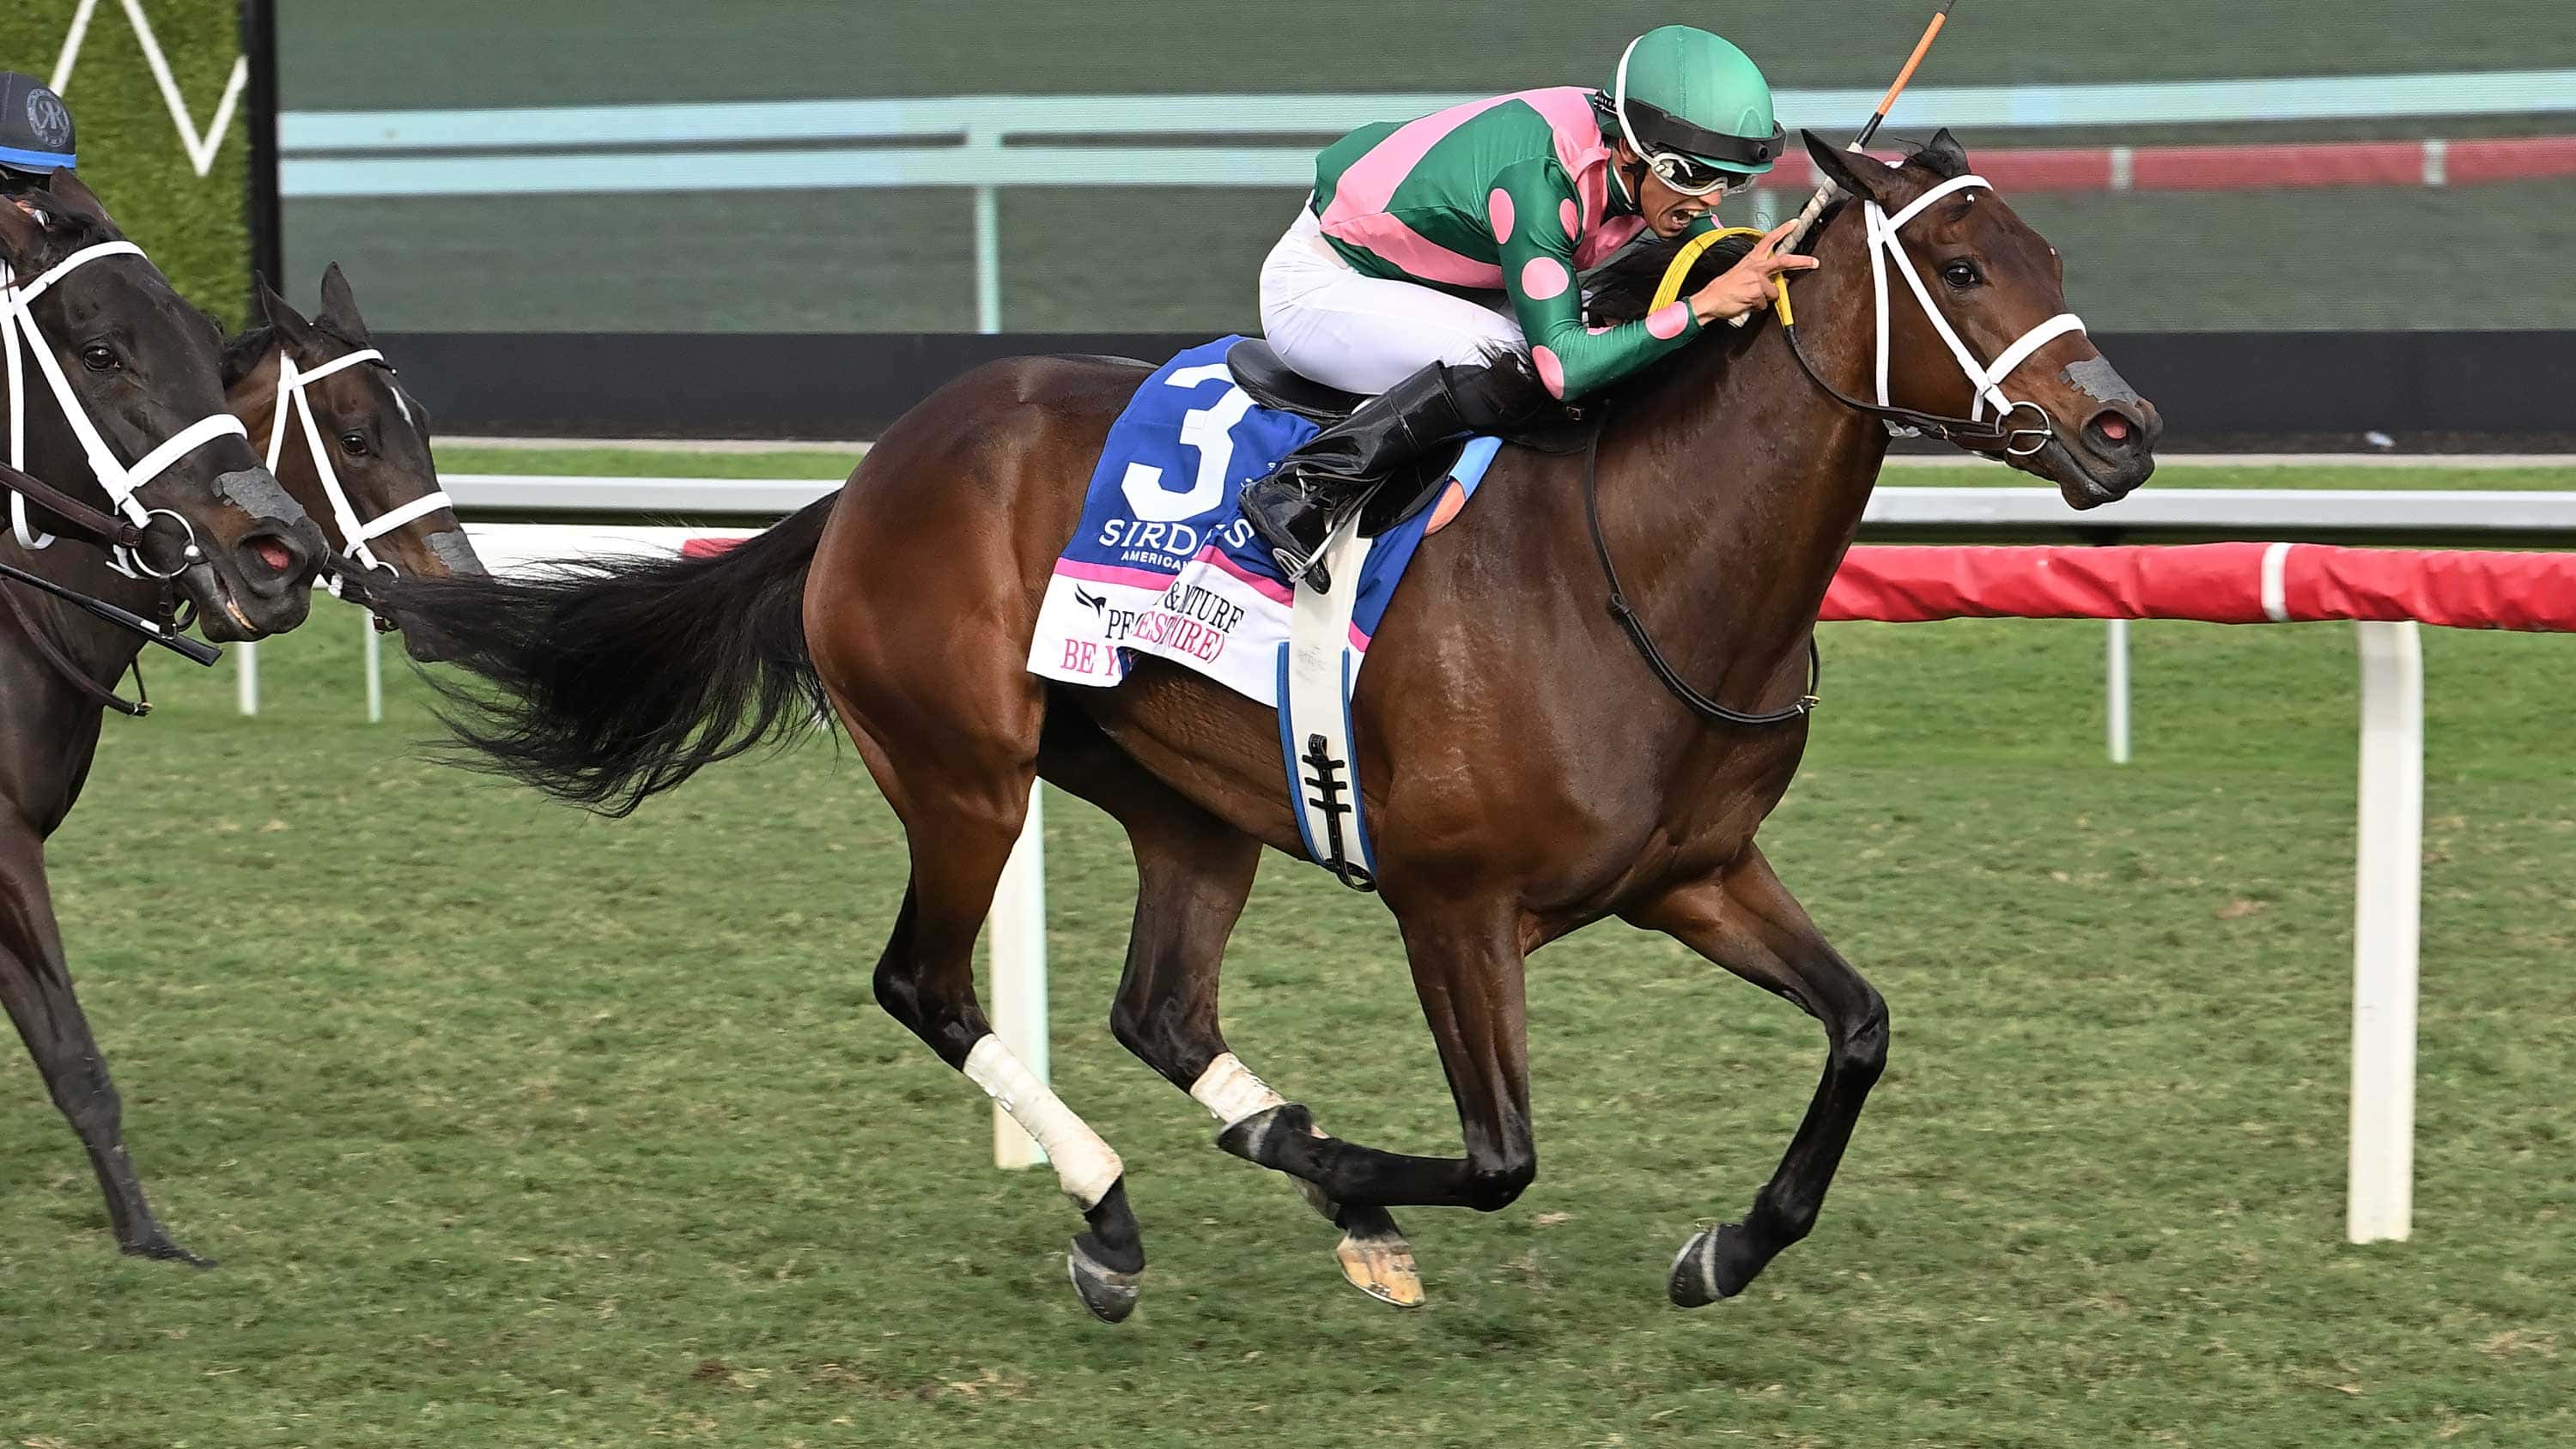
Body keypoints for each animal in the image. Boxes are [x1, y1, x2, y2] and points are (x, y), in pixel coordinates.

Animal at [376, 131, 2161, 1320]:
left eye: (2057, 261)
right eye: (1962, 267)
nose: (2124, 433)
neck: (1643, 562)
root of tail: (871, 476)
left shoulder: (1695, 873)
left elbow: (1860, 1026)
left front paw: (1727, 1243)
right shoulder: (1453, 904)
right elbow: (1500, 1153)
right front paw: (1347, 1171)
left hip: (1185, 799)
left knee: (1159, 1006)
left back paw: (1252, 1169)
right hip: (965, 773)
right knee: (926, 982)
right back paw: (1119, 1213)